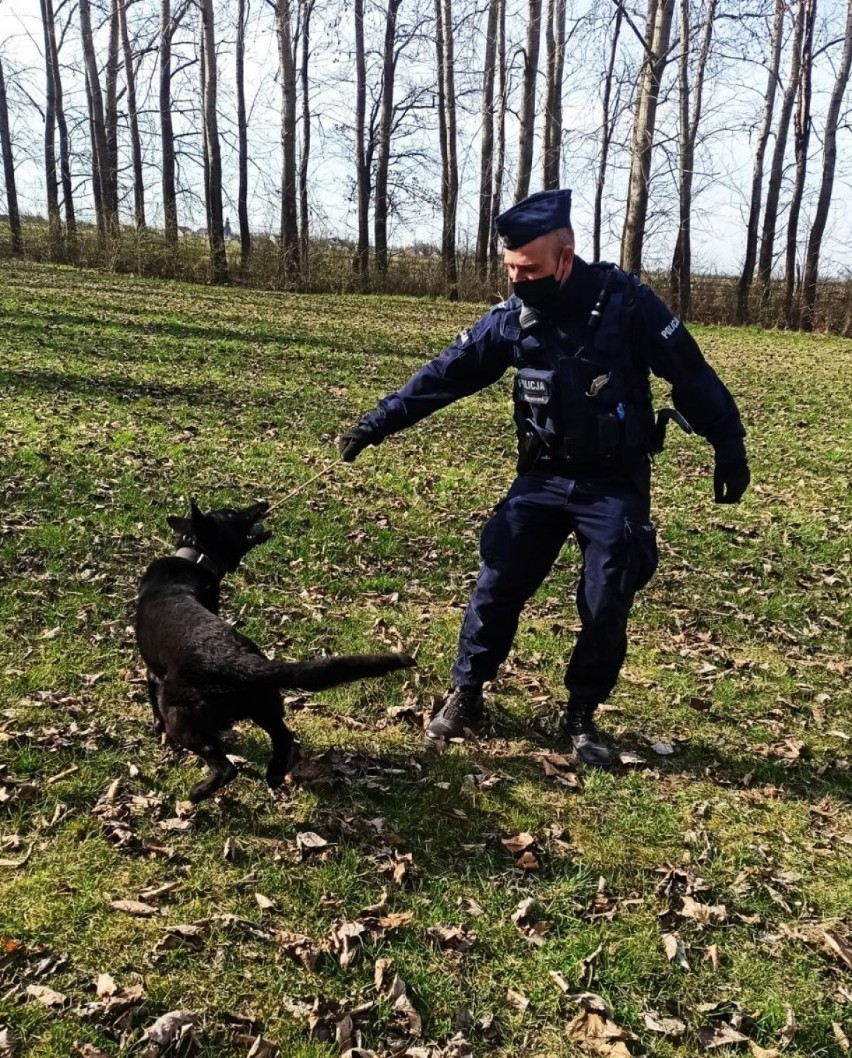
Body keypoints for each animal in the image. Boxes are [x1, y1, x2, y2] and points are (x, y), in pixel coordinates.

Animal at [137, 499, 414, 795]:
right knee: (284, 738)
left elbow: (152, 700)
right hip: (265, 706)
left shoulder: (152, 674)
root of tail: (242, 661)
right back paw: (274, 775)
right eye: (232, 514)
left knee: (226, 767)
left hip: (182, 716)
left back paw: (198, 792)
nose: (262, 503)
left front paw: (157, 729)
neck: (194, 556)